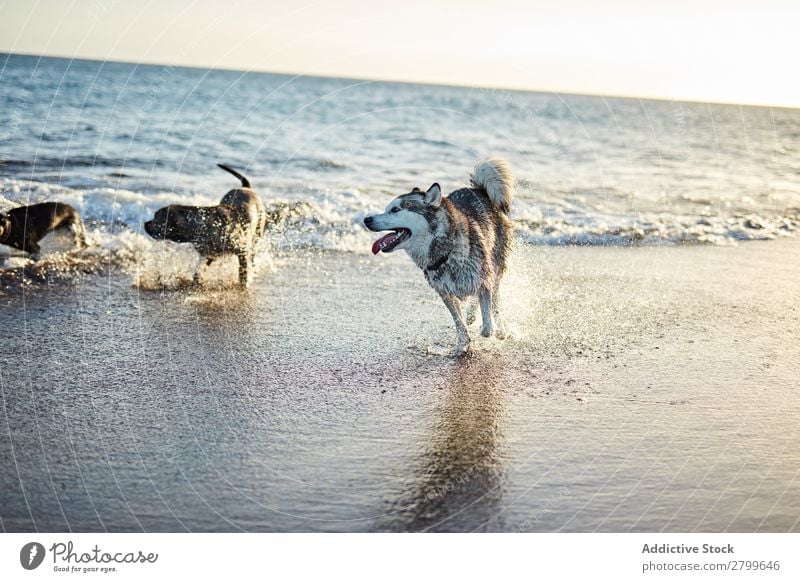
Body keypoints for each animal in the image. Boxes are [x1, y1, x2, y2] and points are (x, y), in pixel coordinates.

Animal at [366, 157, 516, 356]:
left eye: (395, 210)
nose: (367, 220)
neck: (446, 252)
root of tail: (480, 190)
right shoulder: (445, 292)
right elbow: (459, 323)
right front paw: (462, 345)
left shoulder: (483, 276)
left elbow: (486, 320)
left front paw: (486, 329)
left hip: (496, 265)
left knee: (495, 298)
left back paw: (499, 329)